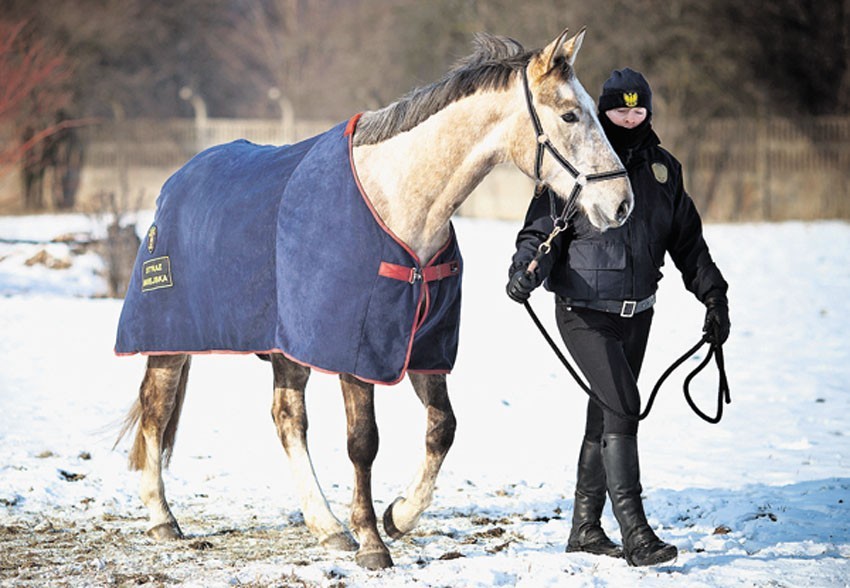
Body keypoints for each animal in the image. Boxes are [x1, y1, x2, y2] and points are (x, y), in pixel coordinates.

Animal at [112, 27, 628, 568]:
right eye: (569, 114)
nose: (621, 204)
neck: (401, 202)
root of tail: (173, 183)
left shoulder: (422, 347)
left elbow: (443, 428)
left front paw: (397, 515)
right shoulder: (357, 351)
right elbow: (363, 442)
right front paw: (372, 542)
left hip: (286, 347)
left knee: (287, 420)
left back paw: (326, 528)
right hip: (168, 339)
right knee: (155, 411)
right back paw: (163, 519)